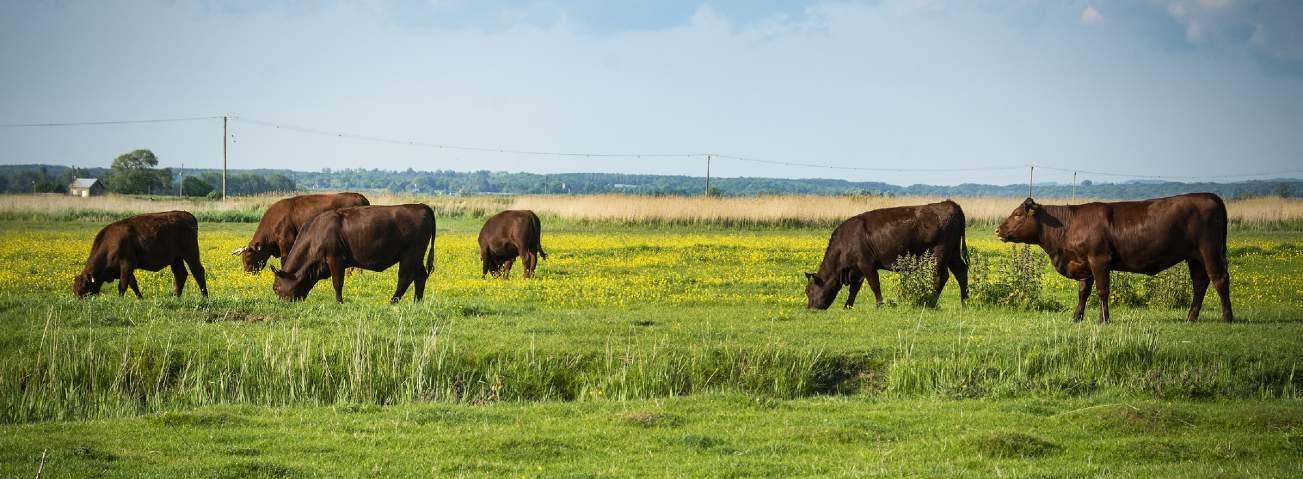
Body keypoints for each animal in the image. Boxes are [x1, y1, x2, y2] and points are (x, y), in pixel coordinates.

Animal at [73, 211, 208, 299]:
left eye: (83, 289)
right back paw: (176, 296)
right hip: (176, 259)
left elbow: (123, 285)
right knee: (180, 274)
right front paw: (139, 297)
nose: (78, 301)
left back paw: (204, 296)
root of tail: (187, 215)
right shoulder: (127, 269)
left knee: (198, 272)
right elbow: (133, 283)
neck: (110, 244)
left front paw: (120, 299)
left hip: (190, 254)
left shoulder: (126, 265)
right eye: (74, 290)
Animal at [271, 204, 435, 303]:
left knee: (405, 278)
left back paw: (393, 301)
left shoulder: (336, 259)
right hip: (416, 257)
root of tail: (422, 206)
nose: (281, 303)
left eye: (276, 287)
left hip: (410, 254)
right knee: (420, 276)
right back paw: (417, 301)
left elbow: (337, 283)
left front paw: (339, 302)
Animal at [805, 201, 968, 310]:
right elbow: (854, 289)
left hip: (940, 252)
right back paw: (964, 301)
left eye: (808, 291)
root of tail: (948, 203)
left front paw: (879, 304)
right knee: (961, 272)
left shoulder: (866, 264)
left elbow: (874, 284)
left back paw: (931, 301)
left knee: (940, 276)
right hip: (953, 253)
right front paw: (847, 306)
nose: (810, 309)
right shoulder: (856, 269)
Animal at [995, 193, 1232, 323]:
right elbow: (1083, 292)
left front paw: (1103, 319)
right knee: (1200, 284)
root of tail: (1209, 195)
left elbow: (1102, 290)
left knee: (1220, 279)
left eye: (1017, 214)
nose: (998, 230)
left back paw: (1227, 317)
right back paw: (1190, 318)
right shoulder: (1084, 263)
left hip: (1209, 251)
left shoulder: (1099, 259)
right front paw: (1077, 317)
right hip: (1194, 258)